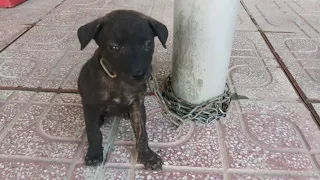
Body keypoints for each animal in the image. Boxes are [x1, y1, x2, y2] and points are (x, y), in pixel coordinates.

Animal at [76, 9, 169, 170]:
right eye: (114, 47)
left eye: (148, 44)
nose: (139, 74)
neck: (118, 81)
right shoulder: (90, 104)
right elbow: (93, 131)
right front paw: (94, 154)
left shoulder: (137, 104)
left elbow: (142, 133)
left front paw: (147, 156)